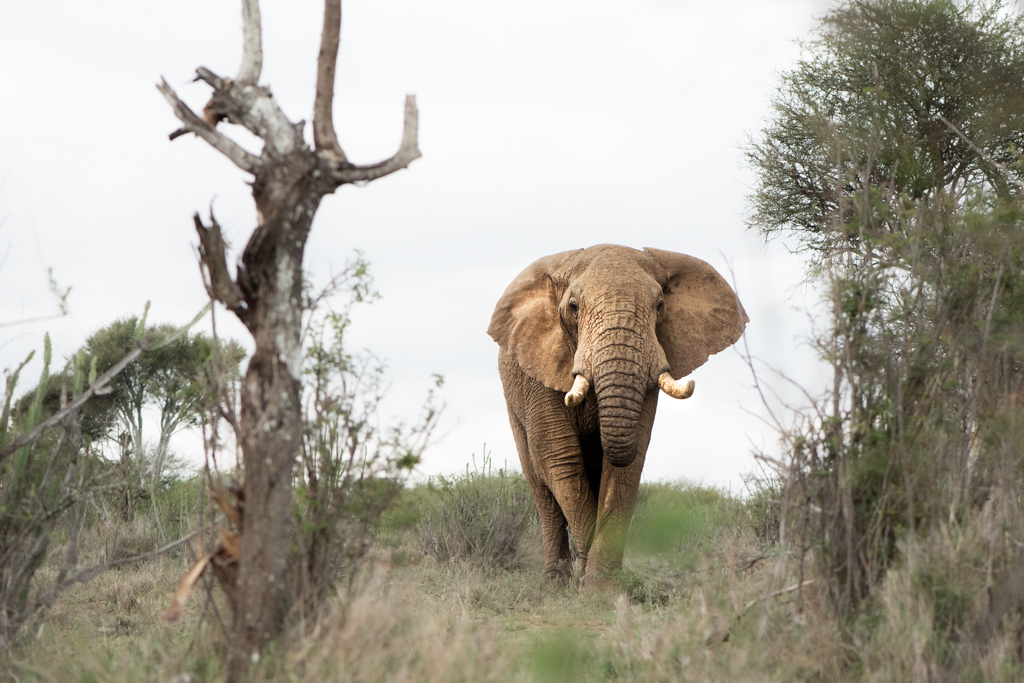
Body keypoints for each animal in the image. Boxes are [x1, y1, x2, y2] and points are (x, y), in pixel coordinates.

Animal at [487, 244, 747, 585]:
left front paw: (603, 587)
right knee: (541, 487)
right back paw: (554, 584)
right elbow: (560, 458)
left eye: (660, 305)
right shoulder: (539, 370)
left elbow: (626, 465)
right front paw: (586, 584)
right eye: (573, 307)